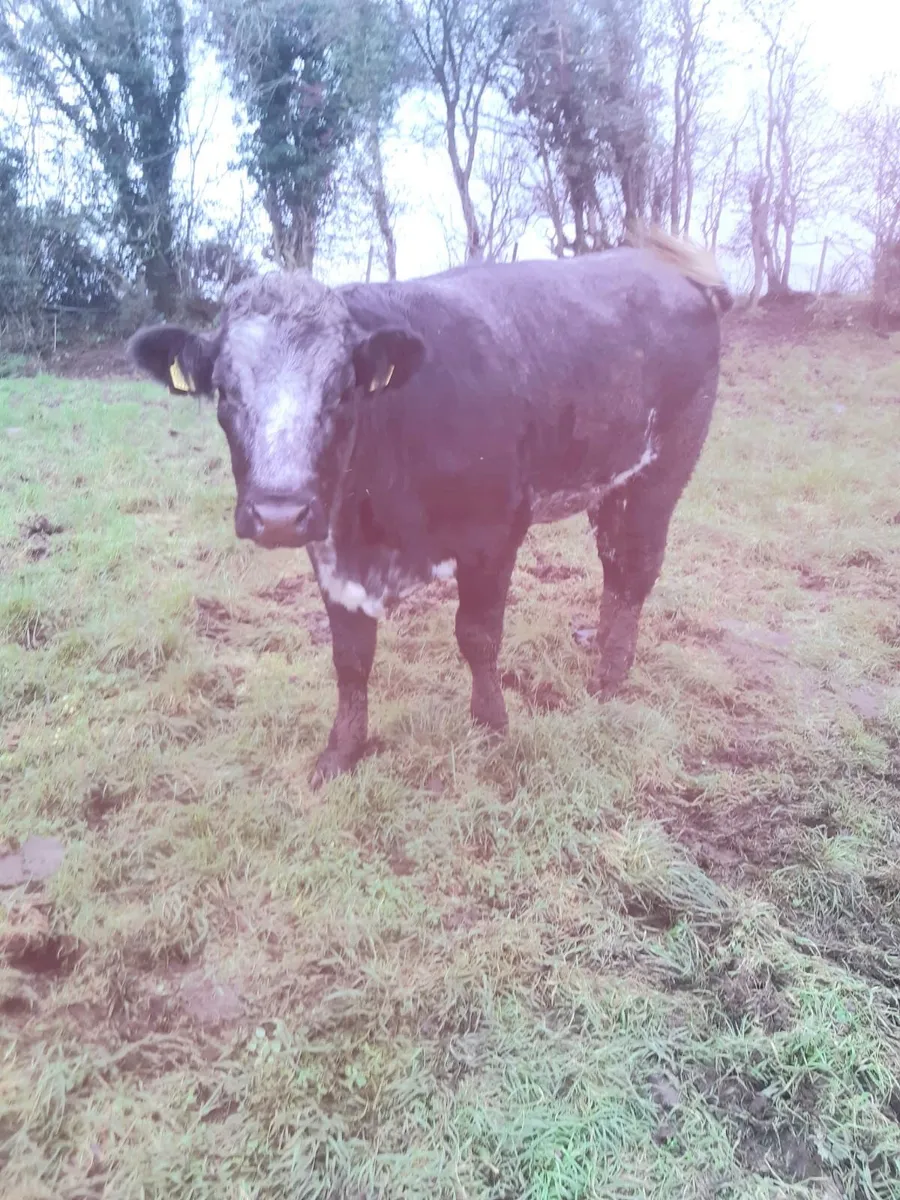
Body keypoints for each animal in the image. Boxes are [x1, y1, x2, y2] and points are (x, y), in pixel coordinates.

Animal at [128, 229, 731, 786]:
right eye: (225, 392)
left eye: (342, 390)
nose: (279, 513)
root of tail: (665, 264)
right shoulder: (330, 550)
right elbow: (350, 656)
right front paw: (342, 751)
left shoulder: (495, 532)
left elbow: (477, 636)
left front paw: (491, 725)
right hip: (610, 481)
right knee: (613, 562)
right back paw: (600, 644)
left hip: (663, 468)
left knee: (636, 566)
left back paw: (609, 675)